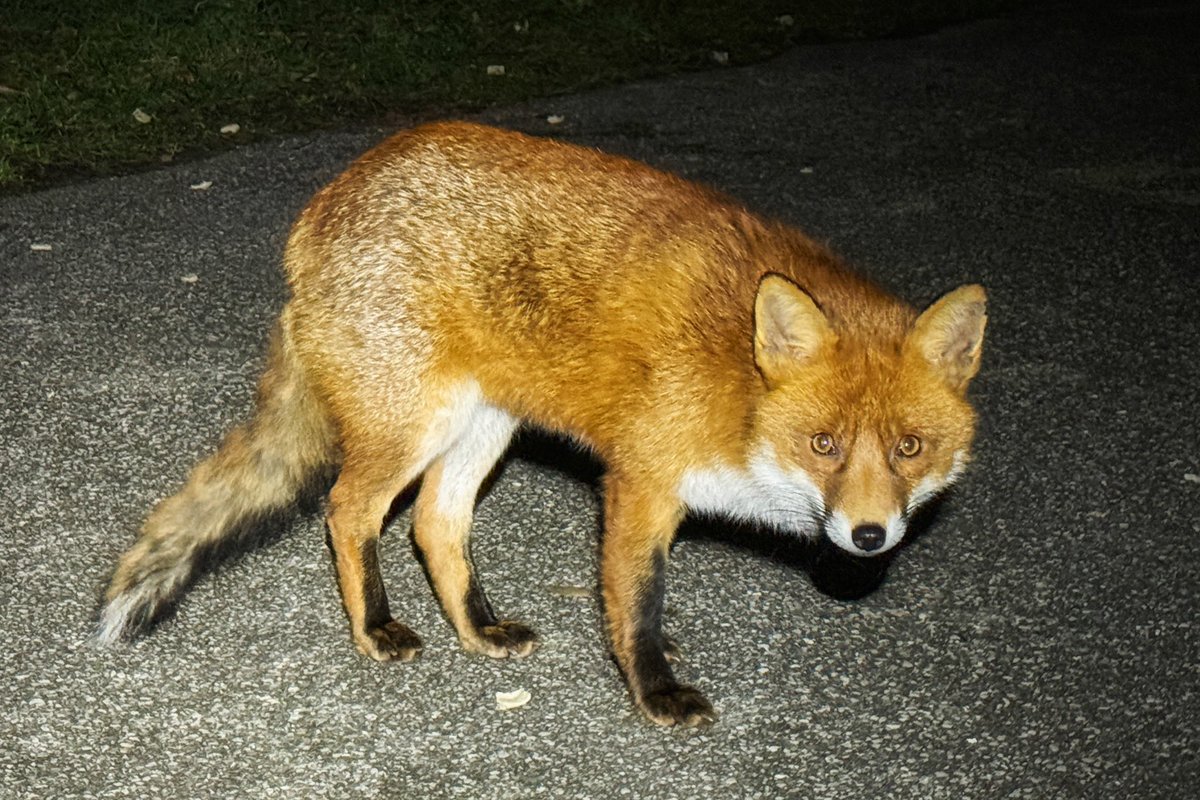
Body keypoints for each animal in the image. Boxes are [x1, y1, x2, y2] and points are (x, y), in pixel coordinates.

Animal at [100, 118, 984, 724]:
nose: (868, 536)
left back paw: (479, 630)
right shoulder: (640, 481)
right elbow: (637, 603)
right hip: (414, 429)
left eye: (909, 448)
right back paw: (376, 629)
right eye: (823, 444)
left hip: (485, 428)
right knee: (350, 511)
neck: (738, 392)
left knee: (433, 523)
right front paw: (655, 692)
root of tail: (322, 206)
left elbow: (630, 600)